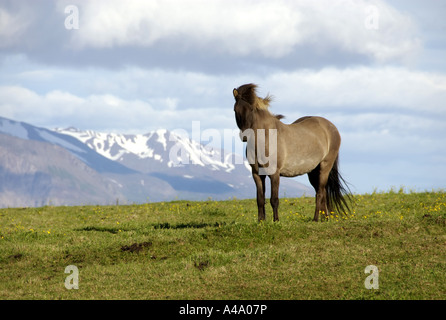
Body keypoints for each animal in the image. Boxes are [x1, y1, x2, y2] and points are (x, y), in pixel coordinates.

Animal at [232, 84, 350, 221]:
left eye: (251, 110)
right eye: (235, 110)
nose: (244, 136)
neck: (265, 137)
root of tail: (331, 127)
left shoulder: (274, 173)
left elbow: (274, 199)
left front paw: (276, 220)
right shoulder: (257, 174)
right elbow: (260, 199)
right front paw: (261, 221)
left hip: (325, 166)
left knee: (320, 193)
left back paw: (316, 219)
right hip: (313, 171)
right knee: (323, 192)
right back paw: (325, 218)